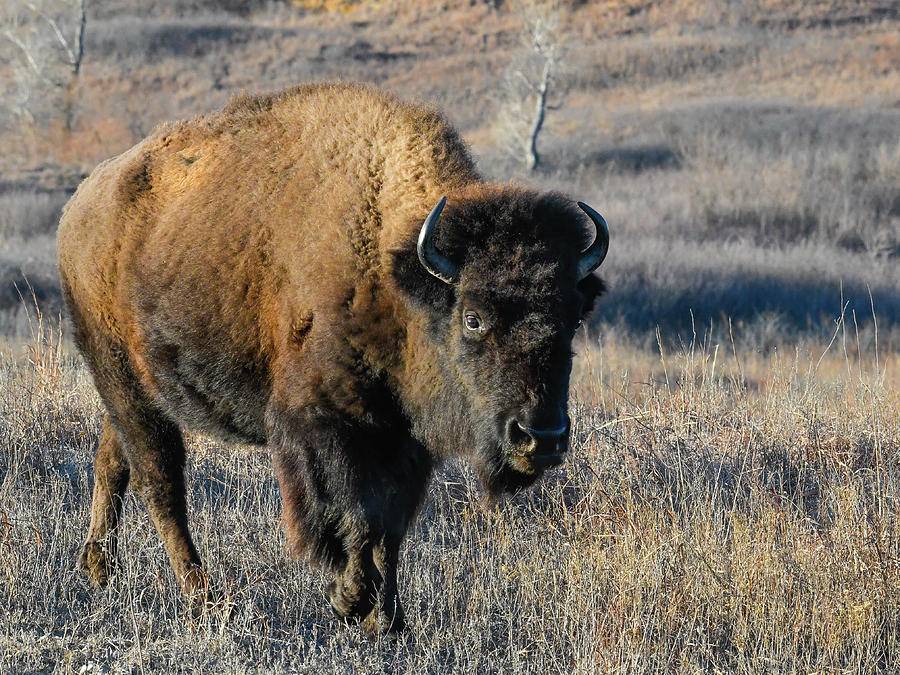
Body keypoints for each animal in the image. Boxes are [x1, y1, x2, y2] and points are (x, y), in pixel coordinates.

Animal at [57, 82, 609, 634]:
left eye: (574, 316)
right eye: (473, 318)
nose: (541, 437)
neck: (393, 269)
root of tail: (80, 205)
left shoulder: (404, 439)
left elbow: (389, 527)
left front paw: (387, 619)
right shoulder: (328, 426)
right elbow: (356, 515)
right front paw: (351, 600)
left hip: (135, 390)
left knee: (114, 460)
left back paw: (99, 570)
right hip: (123, 380)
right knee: (161, 481)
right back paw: (204, 598)